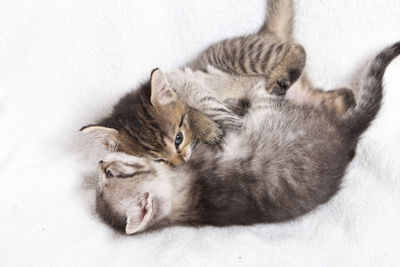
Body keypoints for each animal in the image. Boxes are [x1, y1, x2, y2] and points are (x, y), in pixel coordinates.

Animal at [94, 41, 400, 234]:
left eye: (109, 173)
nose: (100, 163)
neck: (189, 199)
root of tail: (344, 133)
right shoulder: (231, 132)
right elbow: (223, 117)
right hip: (271, 110)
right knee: (263, 93)